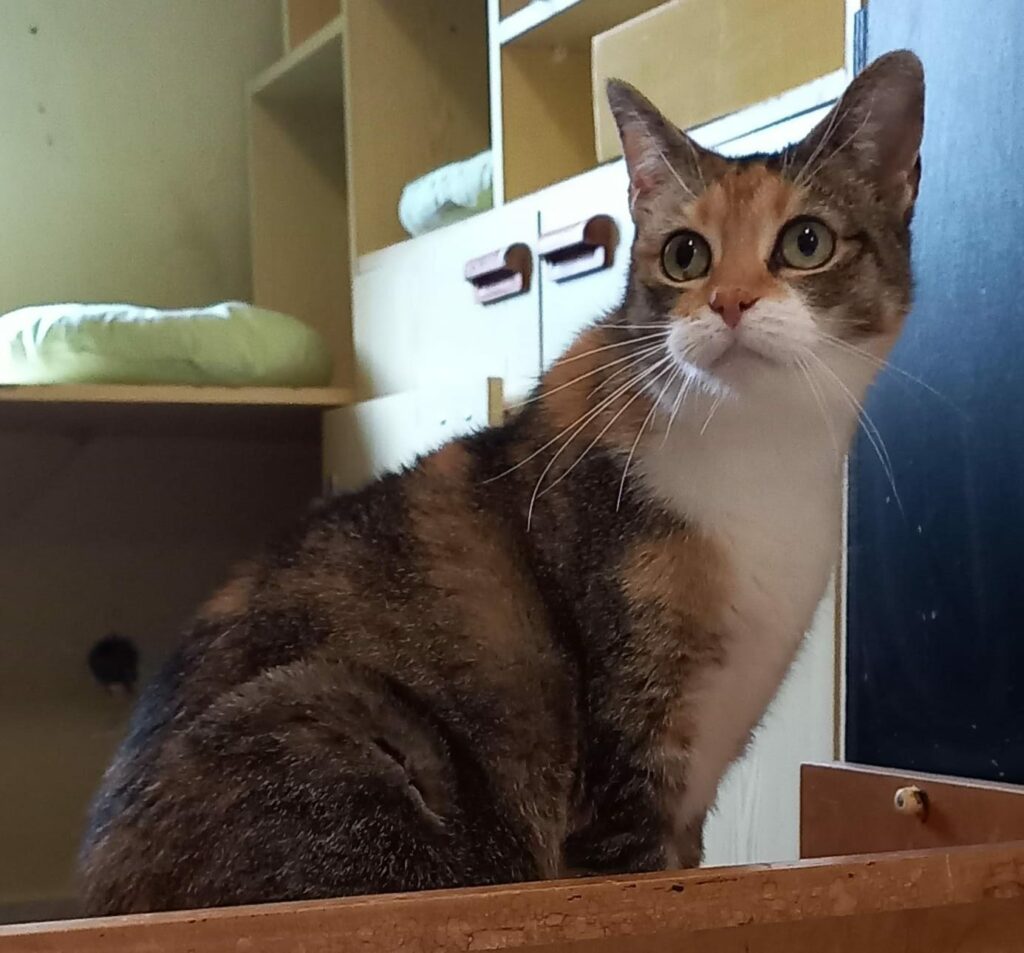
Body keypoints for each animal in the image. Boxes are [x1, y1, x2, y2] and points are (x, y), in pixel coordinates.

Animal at [79, 51, 924, 914]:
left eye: (807, 242)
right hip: (338, 725)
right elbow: (639, 877)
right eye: (686, 254)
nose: (729, 301)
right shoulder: (625, 766)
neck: (757, 451)